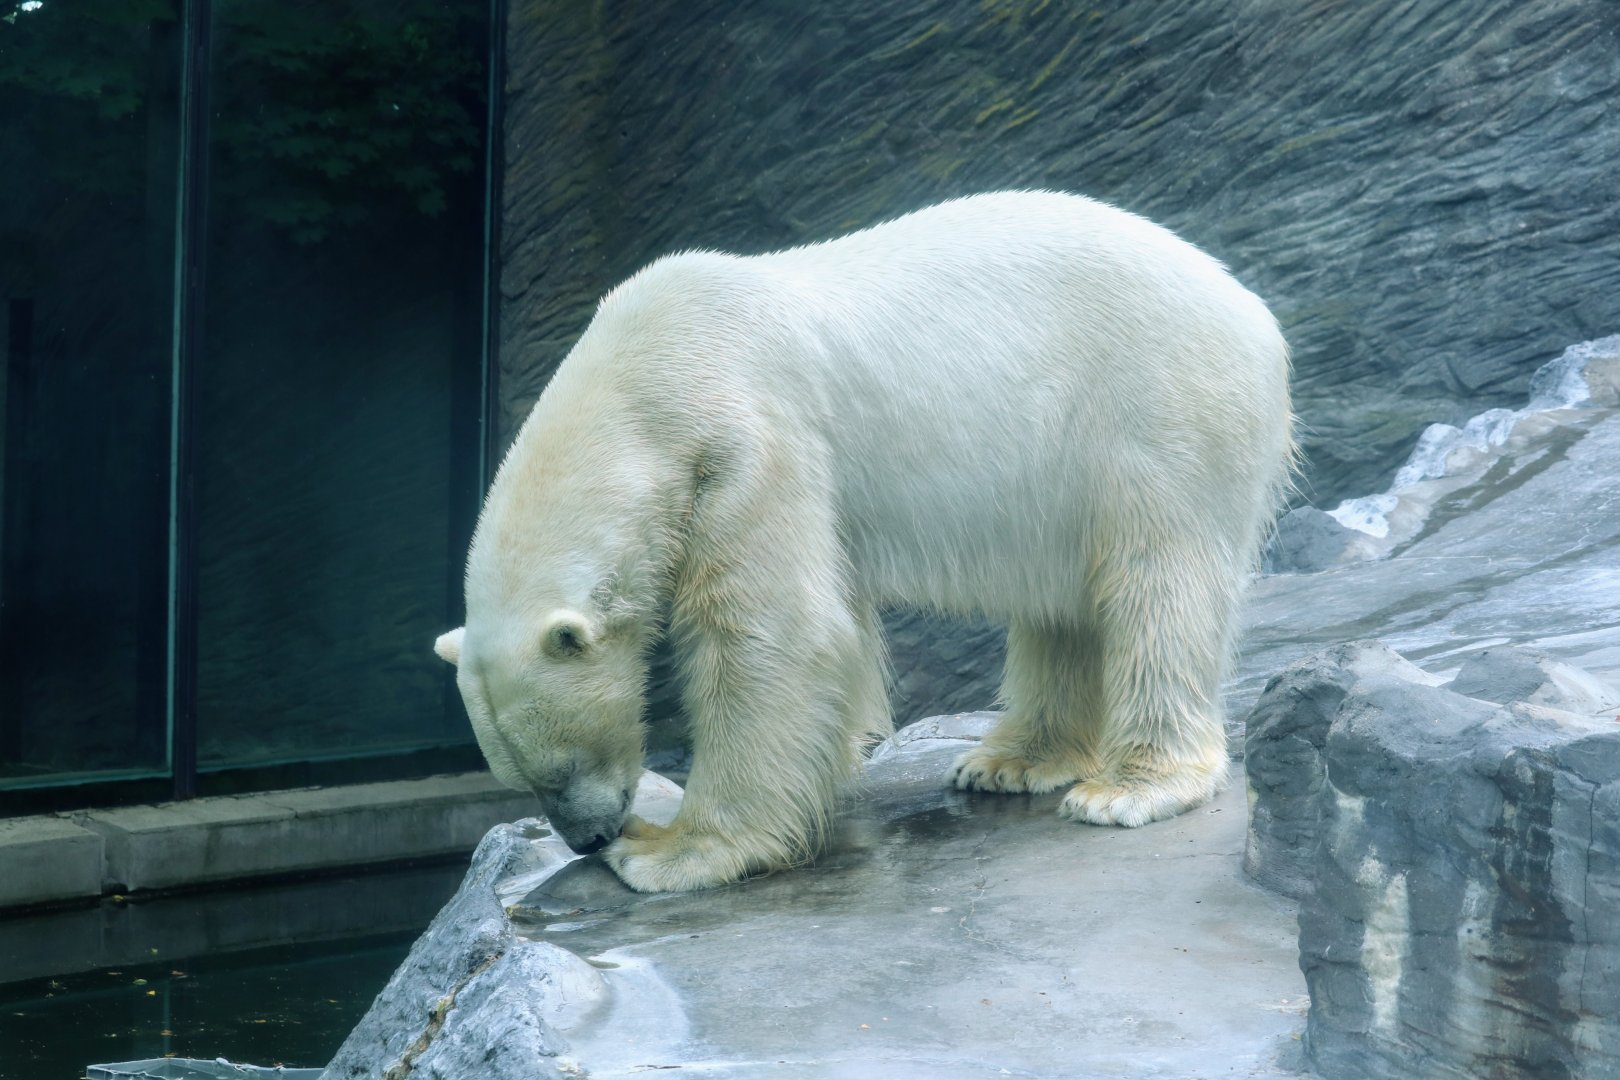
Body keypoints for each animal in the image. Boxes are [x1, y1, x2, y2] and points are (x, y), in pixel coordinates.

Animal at [434, 190, 1294, 893]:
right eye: (517, 776)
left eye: (560, 766)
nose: (587, 837)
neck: (642, 384)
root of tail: (1252, 309)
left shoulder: (746, 438)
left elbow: (773, 631)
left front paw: (669, 850)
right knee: (1063, 603)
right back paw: (1013, 760)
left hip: (1157, 406)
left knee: (1158, 581)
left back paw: (1128, 787)